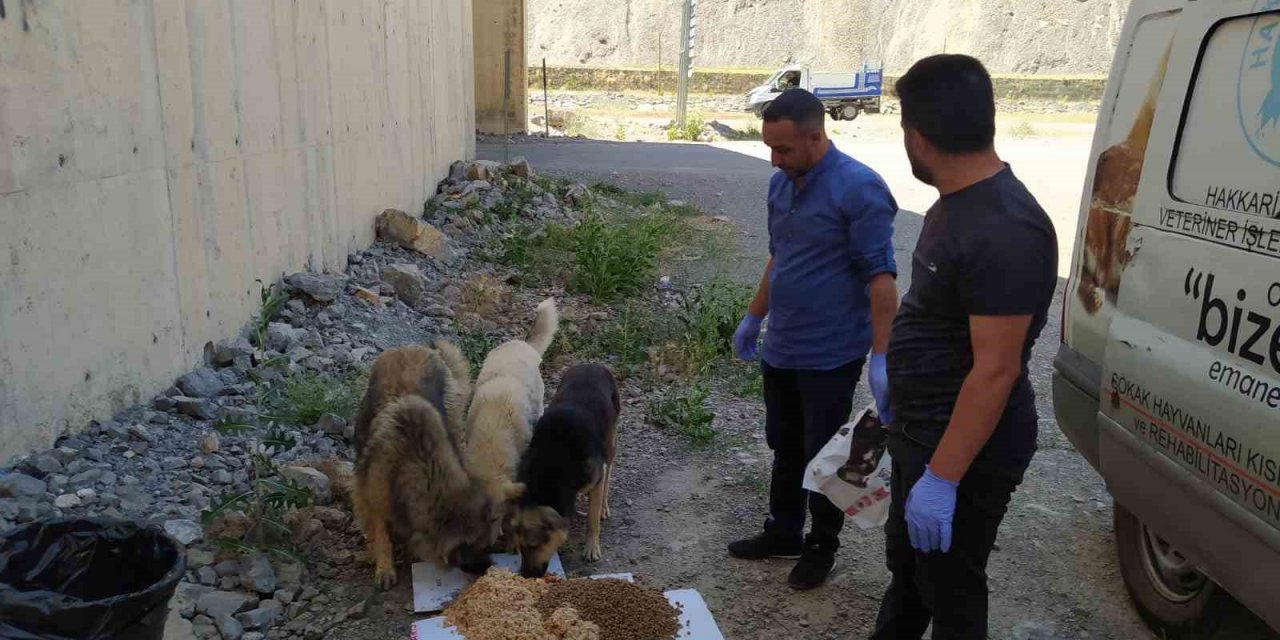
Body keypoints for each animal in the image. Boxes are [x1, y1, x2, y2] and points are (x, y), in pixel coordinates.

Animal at [350, 343, 494, 586]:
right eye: (477, 550)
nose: (489, 569)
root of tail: (411, 347)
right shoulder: (372, 492)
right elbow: (379, 529)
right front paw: (384, 565)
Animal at [504, 366, 619, 581]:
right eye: (521, 548)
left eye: (534, 546)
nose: (525, 576)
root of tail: (593, 364)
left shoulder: (595, 479)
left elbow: (592, 519)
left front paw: (591, 547)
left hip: (610, 441)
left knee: (608, 472)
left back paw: (604, 507)